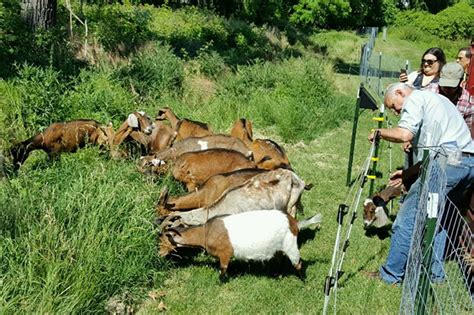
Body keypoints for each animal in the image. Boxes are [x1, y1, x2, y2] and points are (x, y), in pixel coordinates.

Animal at [161, 210, 320, 282]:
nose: (159, 253)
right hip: (279, 247)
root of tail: (294, 223)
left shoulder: (225, 254)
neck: (206, 232)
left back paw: (303, 281)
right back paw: (277, 275)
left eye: (163, 239)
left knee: (298, 263)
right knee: (280, 260)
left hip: (290, 244)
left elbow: (222, 271)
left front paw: (221, 283)